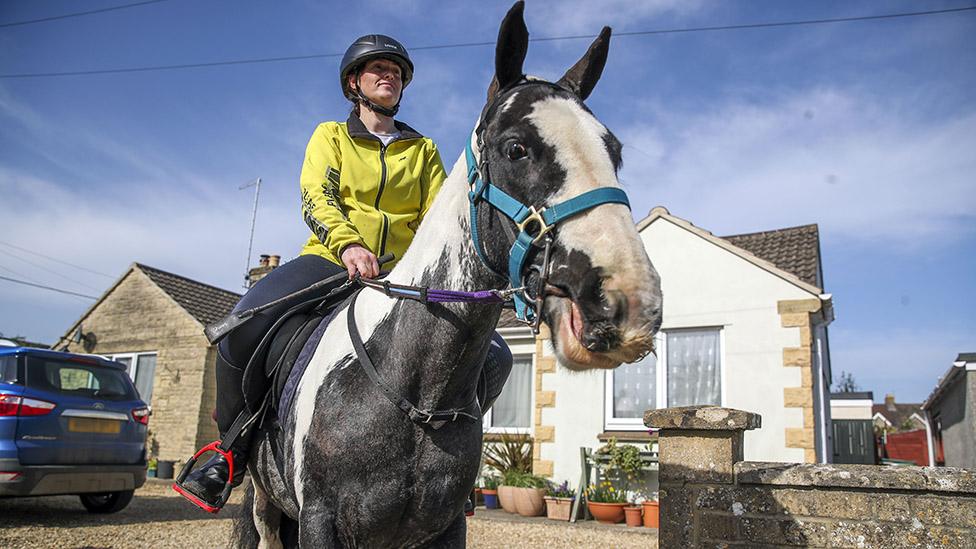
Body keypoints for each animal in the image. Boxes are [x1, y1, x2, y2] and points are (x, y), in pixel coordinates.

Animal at [236, 3, 664, 544]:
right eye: (516, 148)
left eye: (614, 150)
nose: (628, 300)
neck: (414, 394)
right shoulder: (318, 522)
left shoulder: (445, 525)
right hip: (266, 506)